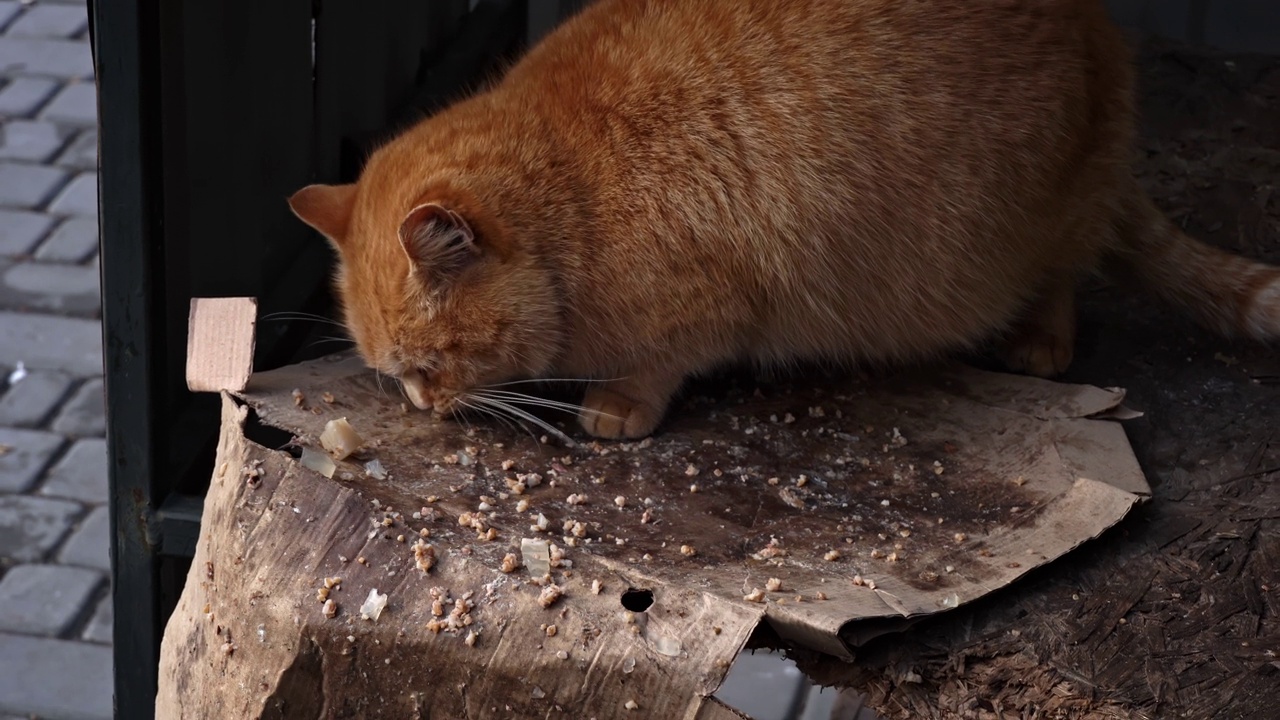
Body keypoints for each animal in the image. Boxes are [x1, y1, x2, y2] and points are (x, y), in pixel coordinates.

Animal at [290, 0, 1280, 440]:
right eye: (391, 375)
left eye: (428, 365)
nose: (423, 406)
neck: (575, 200)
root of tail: (1101, 34)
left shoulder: (716, 312)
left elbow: (660, 366)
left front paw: (617, 404)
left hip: (1045, 222)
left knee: (1069, 272)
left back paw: (1040, 337)